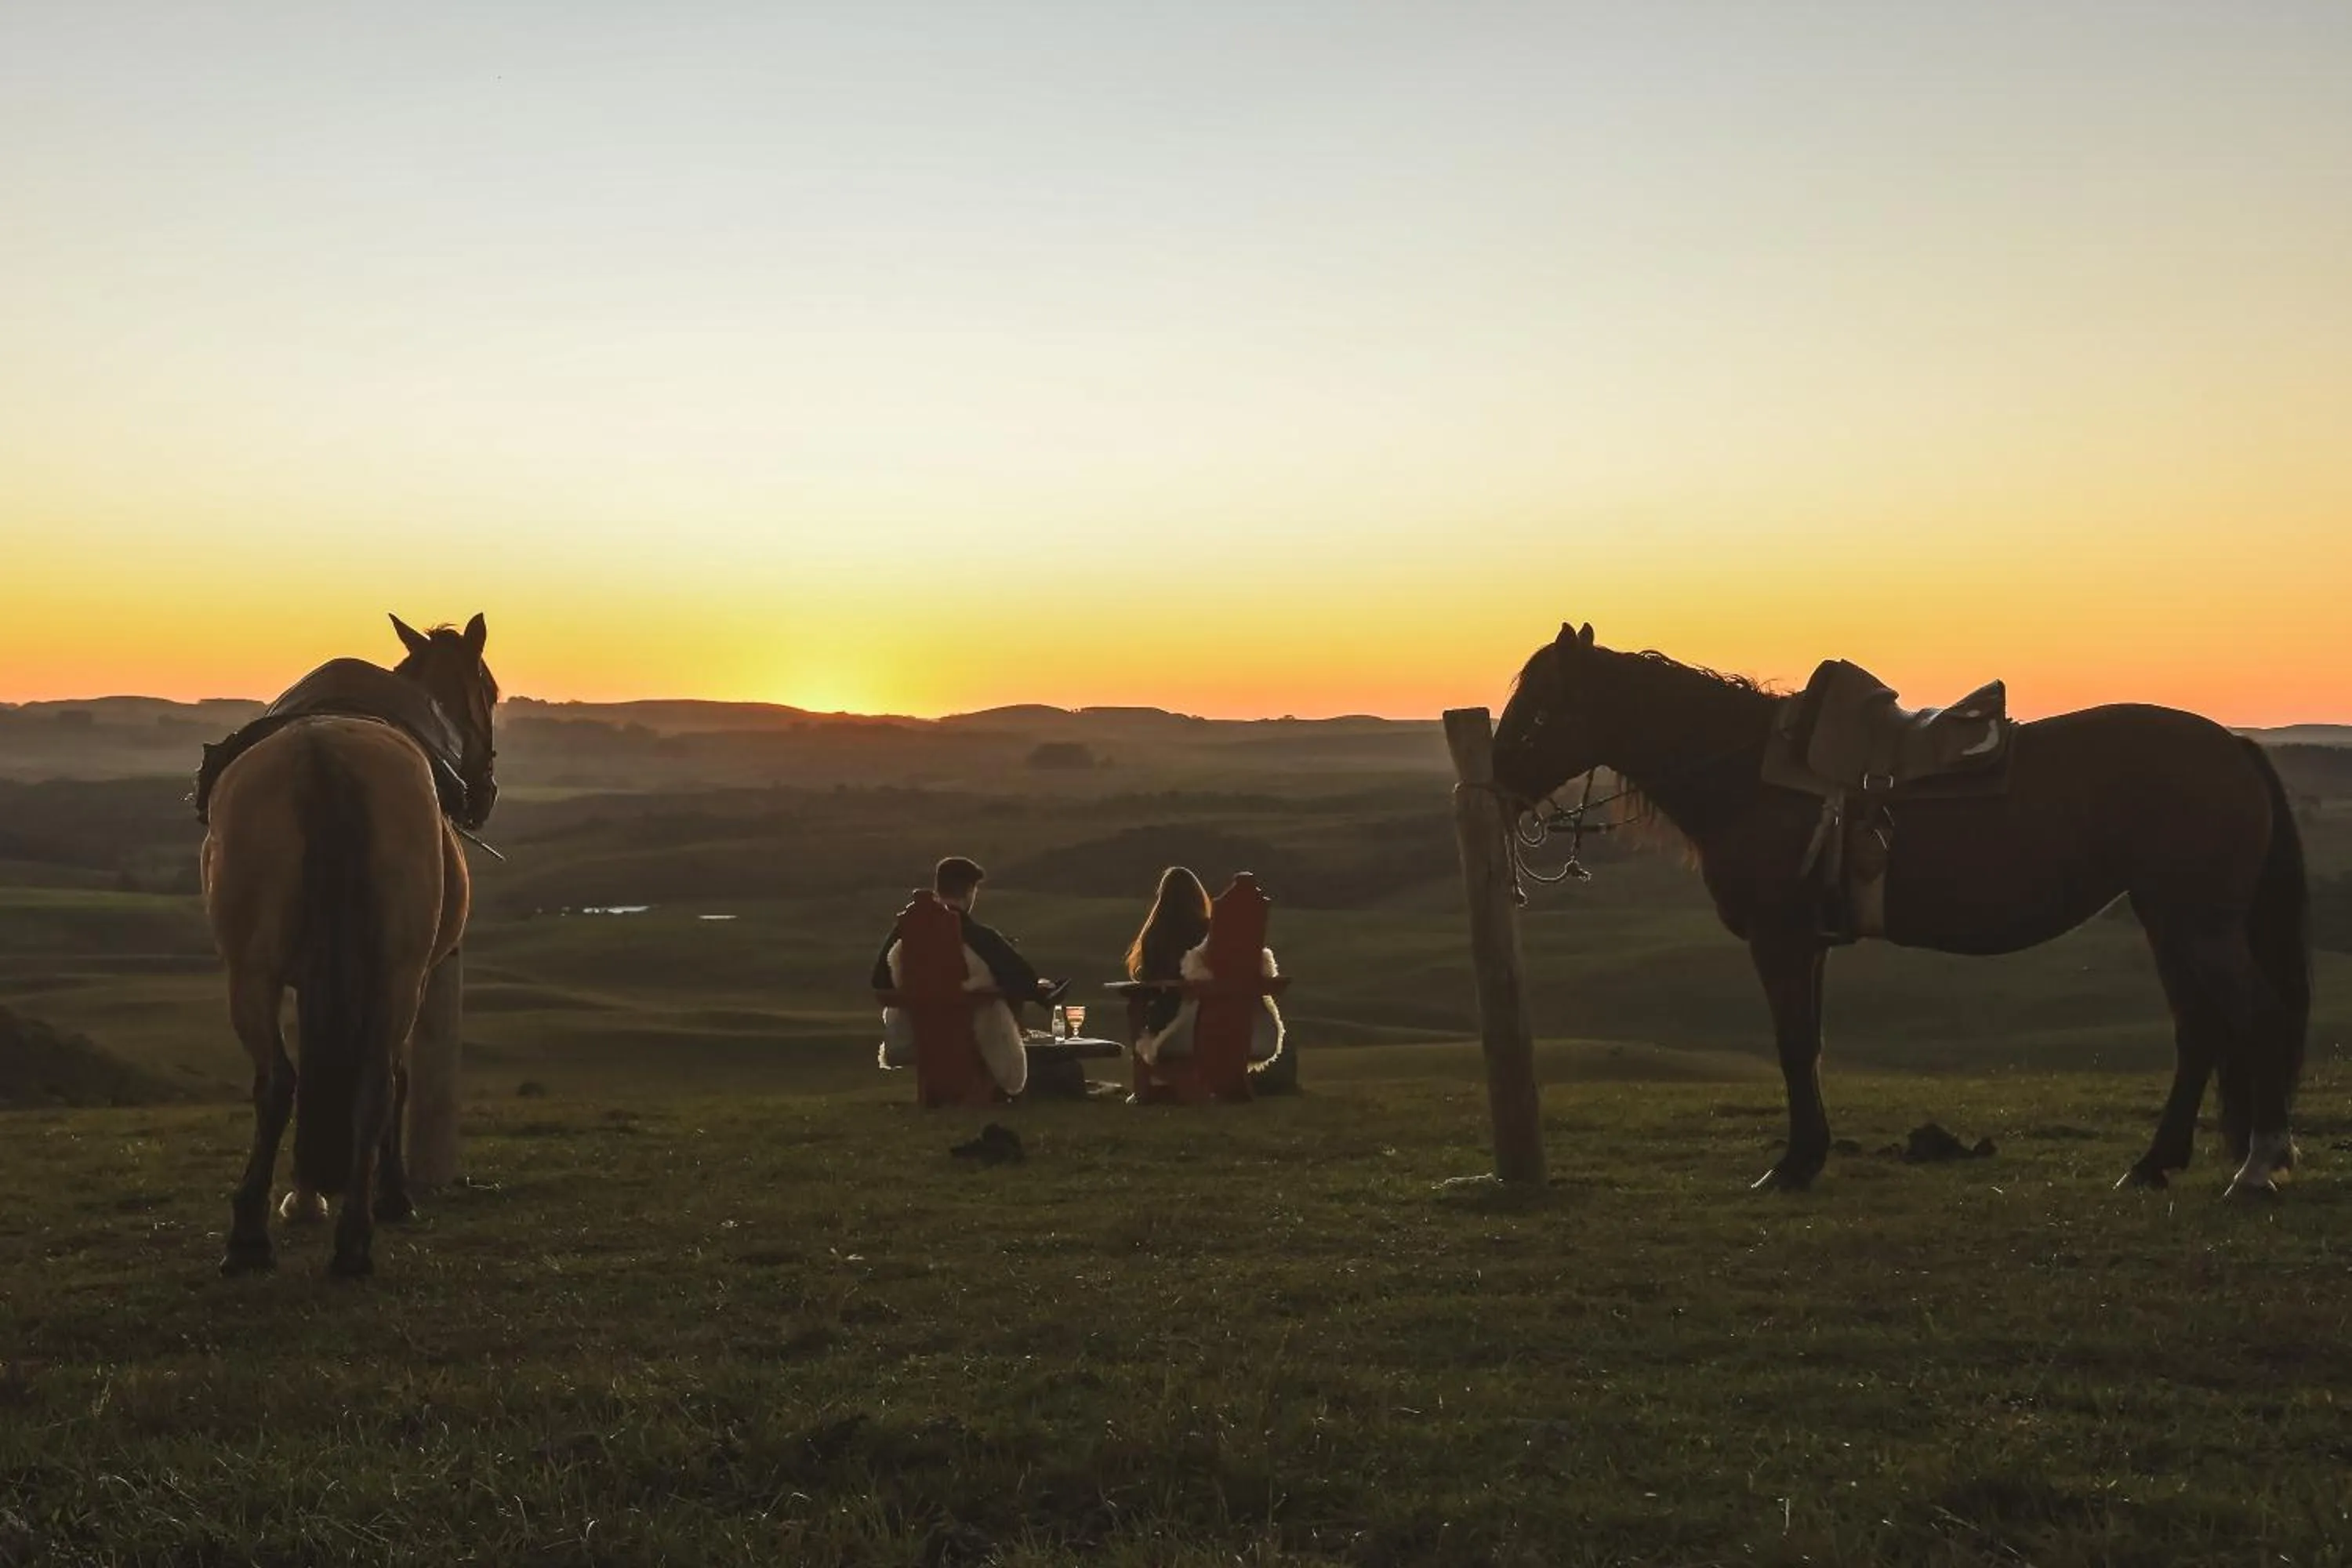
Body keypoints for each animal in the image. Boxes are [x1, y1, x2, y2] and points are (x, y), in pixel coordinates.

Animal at [203, 614, 498, 1276]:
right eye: (491, 693)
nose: (485, 793)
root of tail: (324, 757)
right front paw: (378, 1194)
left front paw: (308, 1195)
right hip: (394, 977)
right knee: (372, 1081)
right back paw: (354, 1231)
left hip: (252, 976)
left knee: (282, 1083)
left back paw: (252, 1234)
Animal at [1490, 622, 2310, 1200]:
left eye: (1538, 711)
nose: (1490, 789)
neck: (1751, 776)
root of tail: (2233, 745)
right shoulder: (1811, 943)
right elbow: (1810, 1047)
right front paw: (1808, 1156)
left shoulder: (1780, 941)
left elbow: (1792, 1047)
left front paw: (1792, 1164)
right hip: (2168, 917)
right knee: (2199, 1029)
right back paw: (2154, 1163)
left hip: (2198, 923)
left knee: (2256, 1015)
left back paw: (2257, 1166)